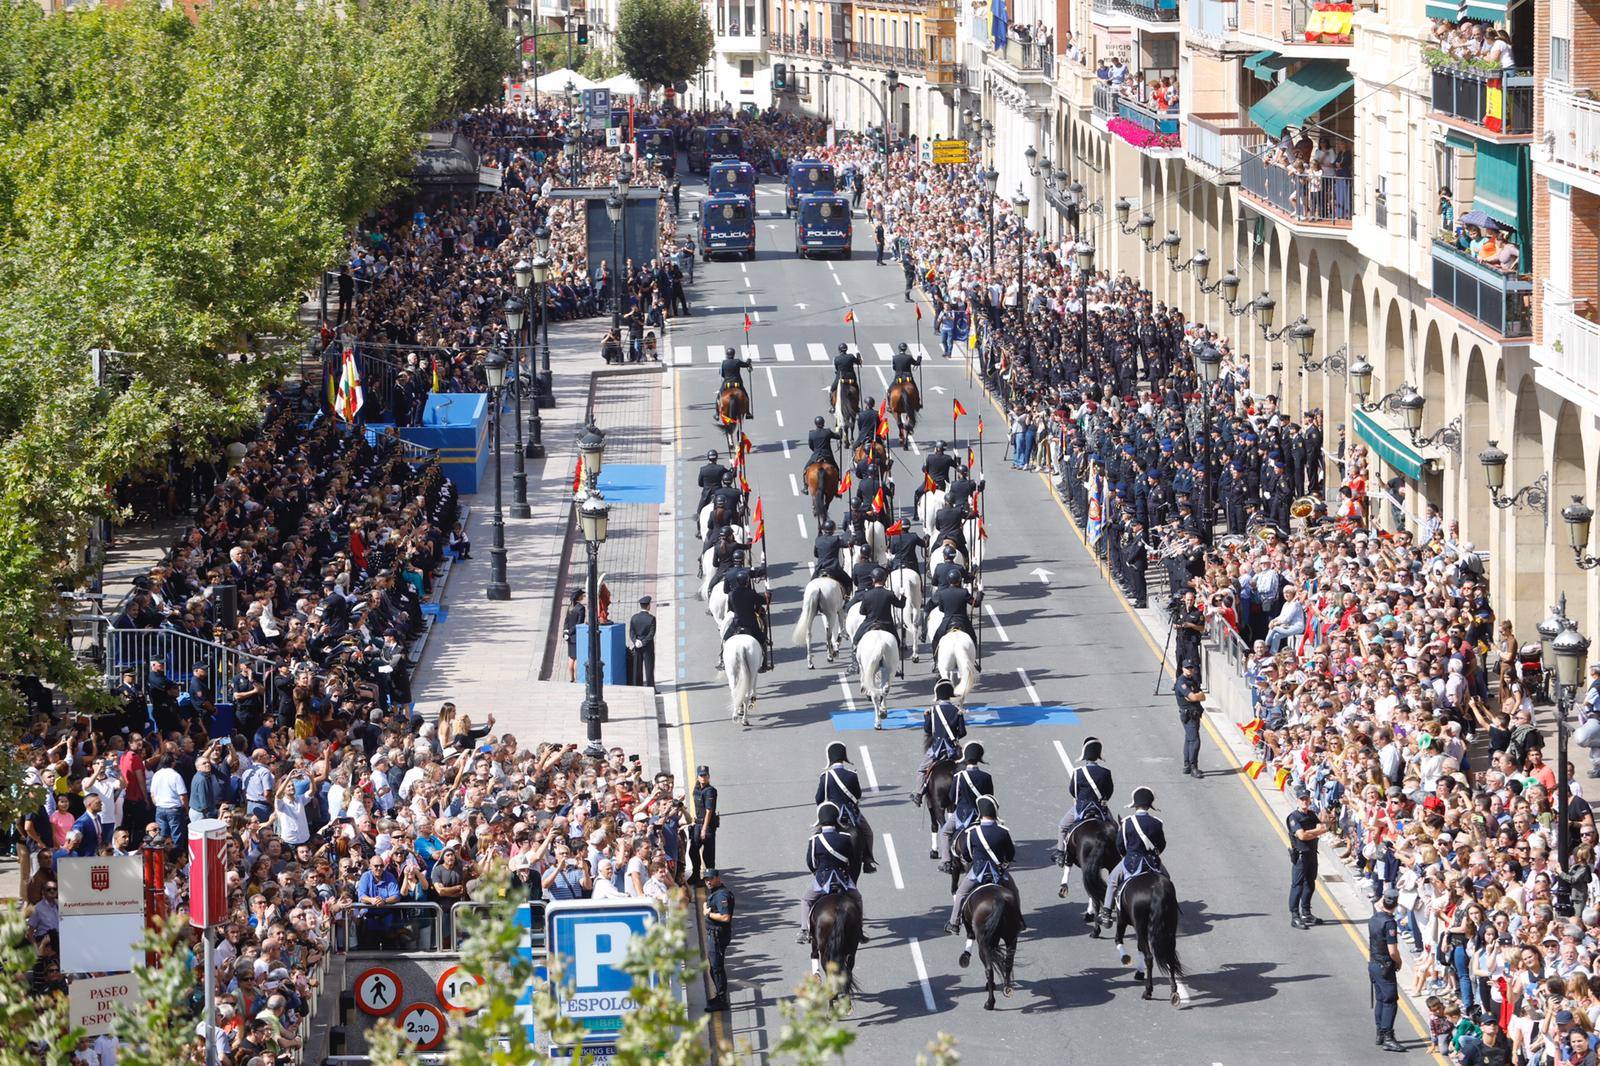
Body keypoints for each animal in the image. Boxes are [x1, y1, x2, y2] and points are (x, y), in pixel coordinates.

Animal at [953, 877, 1017, 1011]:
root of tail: (999, 899)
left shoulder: (972, 930)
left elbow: (970, 936)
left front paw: (965, 958)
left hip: (983, 944)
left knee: (989, 969)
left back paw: (989, 1002)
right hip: (1011, 938)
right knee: (1008, 964)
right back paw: (1007, 988)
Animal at [1113, 870, 1190, 998]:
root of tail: (1157, 890)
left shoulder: (1122, 922)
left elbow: (1118, 940)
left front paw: (1126, 960)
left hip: (1141, 929)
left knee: (1149, 957)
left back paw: (1148, 991)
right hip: (1170, 930)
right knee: (1170, 957)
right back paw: (1174, 990)